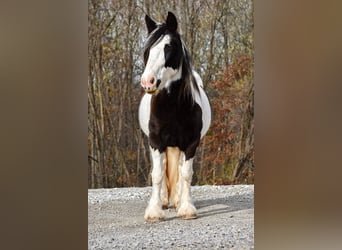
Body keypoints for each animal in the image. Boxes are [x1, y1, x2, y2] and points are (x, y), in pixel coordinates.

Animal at [139, 11, 211, 223]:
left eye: (168, 47)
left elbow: (186, 174)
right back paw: (164, 200)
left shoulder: (191, 143)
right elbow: (157, 174)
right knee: (162, 169)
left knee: (178, 169)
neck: (172, 107)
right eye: (148, 50)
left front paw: (187, 209)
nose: (148, 82)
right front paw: (154, 212)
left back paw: (178, 200)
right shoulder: (156, 142)